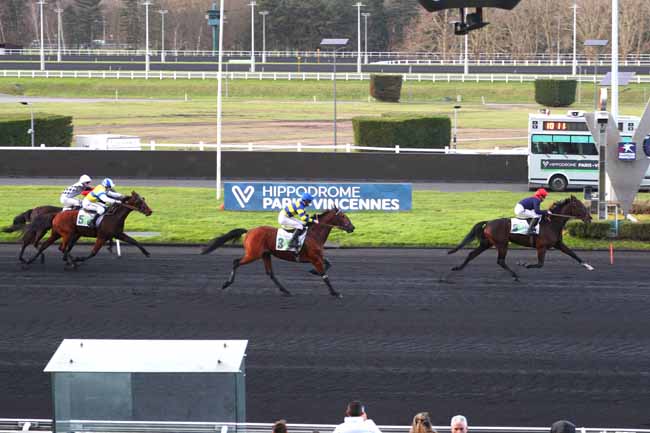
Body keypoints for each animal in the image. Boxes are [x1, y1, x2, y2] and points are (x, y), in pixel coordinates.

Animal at [25, 192, 153, 268]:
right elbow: (93, 252)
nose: (150, 211)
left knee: (45, 245)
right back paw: (71, 262)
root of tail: (57, 215)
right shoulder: (102, 236)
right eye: (139, 201)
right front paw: (79, 259)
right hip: (67, 233)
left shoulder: (118, 234)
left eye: (143, 199)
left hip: (57, 233)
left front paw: (146, 253)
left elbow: (133, 241)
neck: (113, 216)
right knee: (61, 247)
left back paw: (29, 260)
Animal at [201, 207, 354, 296]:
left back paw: (285, 290)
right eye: (343, 217)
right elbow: (325, 275)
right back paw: (227, 283)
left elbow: (329, 264)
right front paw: (335, 292)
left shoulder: (316, 256)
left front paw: (313, 271)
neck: (313, 234)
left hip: (265, 254)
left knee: (270, 273)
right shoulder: (314, 258)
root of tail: (249, 231)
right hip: (253, 254)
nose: (352, 227)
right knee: (236, 262)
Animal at [446, 196, 592, 280]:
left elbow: (573, 254)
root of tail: (488, 222)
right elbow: (540, 264)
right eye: (580, 206)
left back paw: (457, 268)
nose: (590, 218)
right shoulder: (541, 247)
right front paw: (524, 264)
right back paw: (515, 275)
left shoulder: (558, 244)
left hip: (487, 243)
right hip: (502, 244)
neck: (552, 223)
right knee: (500, 261)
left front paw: (588, 266)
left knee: (472, 254)